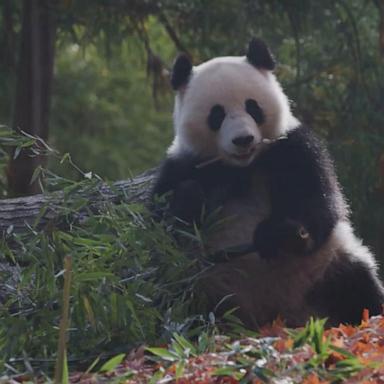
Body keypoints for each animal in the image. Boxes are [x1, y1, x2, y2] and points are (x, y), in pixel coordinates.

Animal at [152, 38, 384, 328]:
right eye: (217, 114)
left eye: (253, 107)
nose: (243, 140)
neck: (242, 167)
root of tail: (281, 315)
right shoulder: (182, 166)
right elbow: (162, 233)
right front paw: (190, 197)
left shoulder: (293, 148)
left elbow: (319, 205)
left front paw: (276, 233)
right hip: (208, 286)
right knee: (177, 301)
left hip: (328, 266)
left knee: (358, 287)